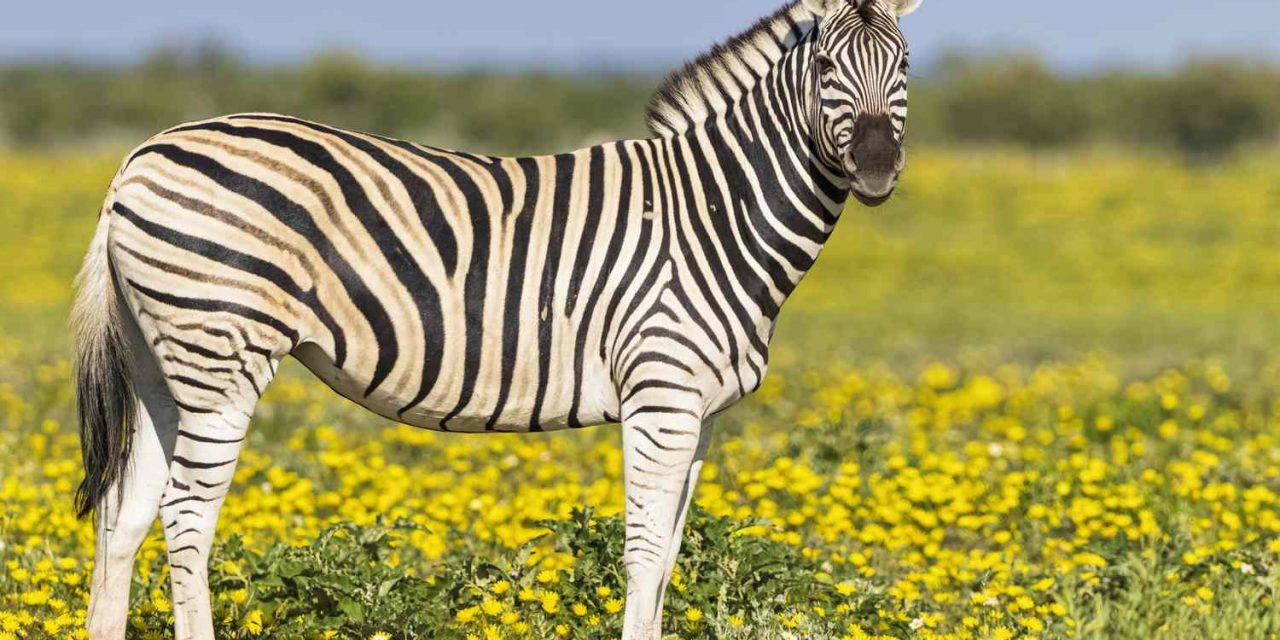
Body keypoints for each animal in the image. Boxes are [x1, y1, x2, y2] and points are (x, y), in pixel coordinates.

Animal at [73, 0, 921, 638]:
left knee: (126, 512)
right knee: (186, 516)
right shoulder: (662, 395)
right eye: (825, 68)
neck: (713, 215)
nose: (879, 168)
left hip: (163, 364)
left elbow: (670, 555)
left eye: (906, 66)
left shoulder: (702, 412)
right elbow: (647, 552)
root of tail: (138, 159)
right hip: (222, 350)